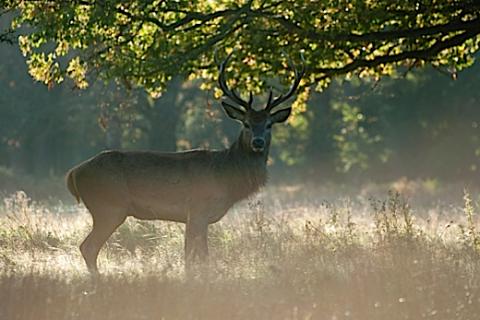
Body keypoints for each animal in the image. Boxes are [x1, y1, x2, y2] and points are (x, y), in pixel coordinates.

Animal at [64, 52, 304, 272]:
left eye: (269, 124)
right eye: (245, 123)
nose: (258, 142)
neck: (226, 176)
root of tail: (74, 173)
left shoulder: (196, 217)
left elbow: (194, 256)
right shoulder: (197, 209)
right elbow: (199, 258)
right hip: (109, 206)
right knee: (88, 247)